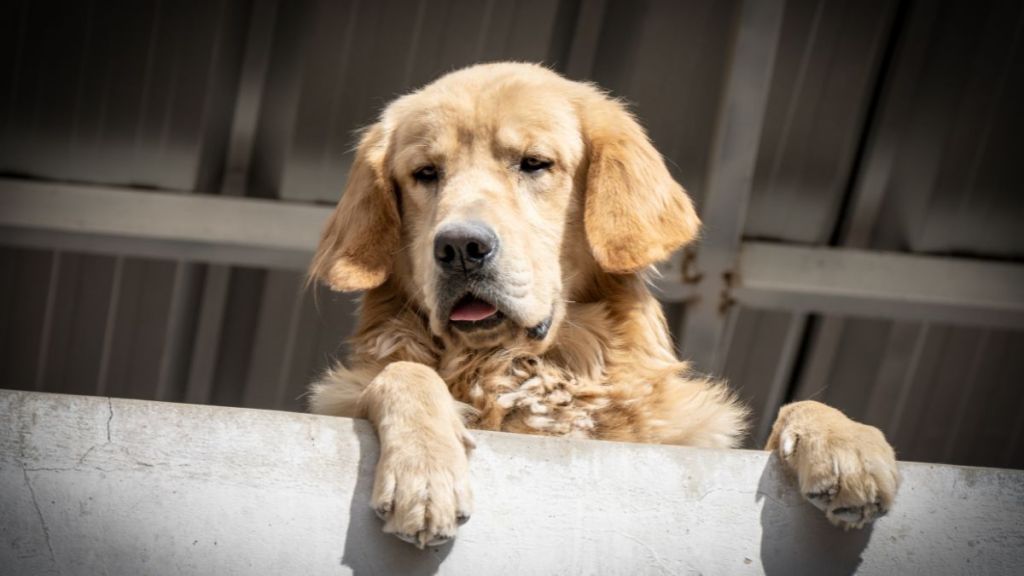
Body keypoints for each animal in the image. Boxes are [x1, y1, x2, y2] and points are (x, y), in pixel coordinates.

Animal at [307, 60, 901, 545]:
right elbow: (403, 373)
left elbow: (797, 410)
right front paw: (425, 469)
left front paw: (846, 443)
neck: (526, 371)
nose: (459, 247)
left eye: (534, 163)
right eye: (426, 173)